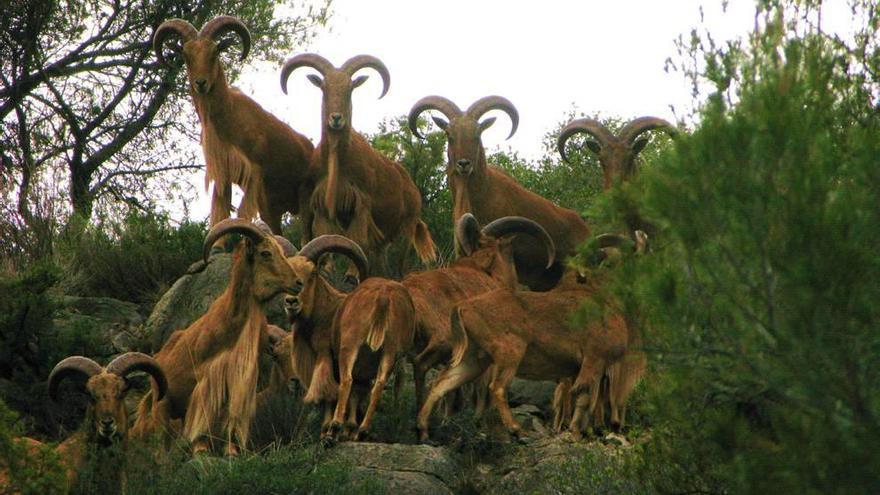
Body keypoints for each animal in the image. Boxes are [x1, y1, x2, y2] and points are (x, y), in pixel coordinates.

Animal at [131, 219, 300, 456]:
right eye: (266, 253)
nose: (298, 282)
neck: (233, 322)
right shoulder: (204, 381)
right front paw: (201, 449)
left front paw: (231, 451)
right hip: (161, 403)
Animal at [282, 55, 436, 280]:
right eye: (324, 87)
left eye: (350, 88)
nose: (336, 118)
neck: (338, 160)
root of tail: (413, 187)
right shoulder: (322, 205)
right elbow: (325, 237)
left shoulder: (361, 203)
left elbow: (357, 240)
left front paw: (351, 275)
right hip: (384, 238)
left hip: (407, 227)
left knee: (401, 261)